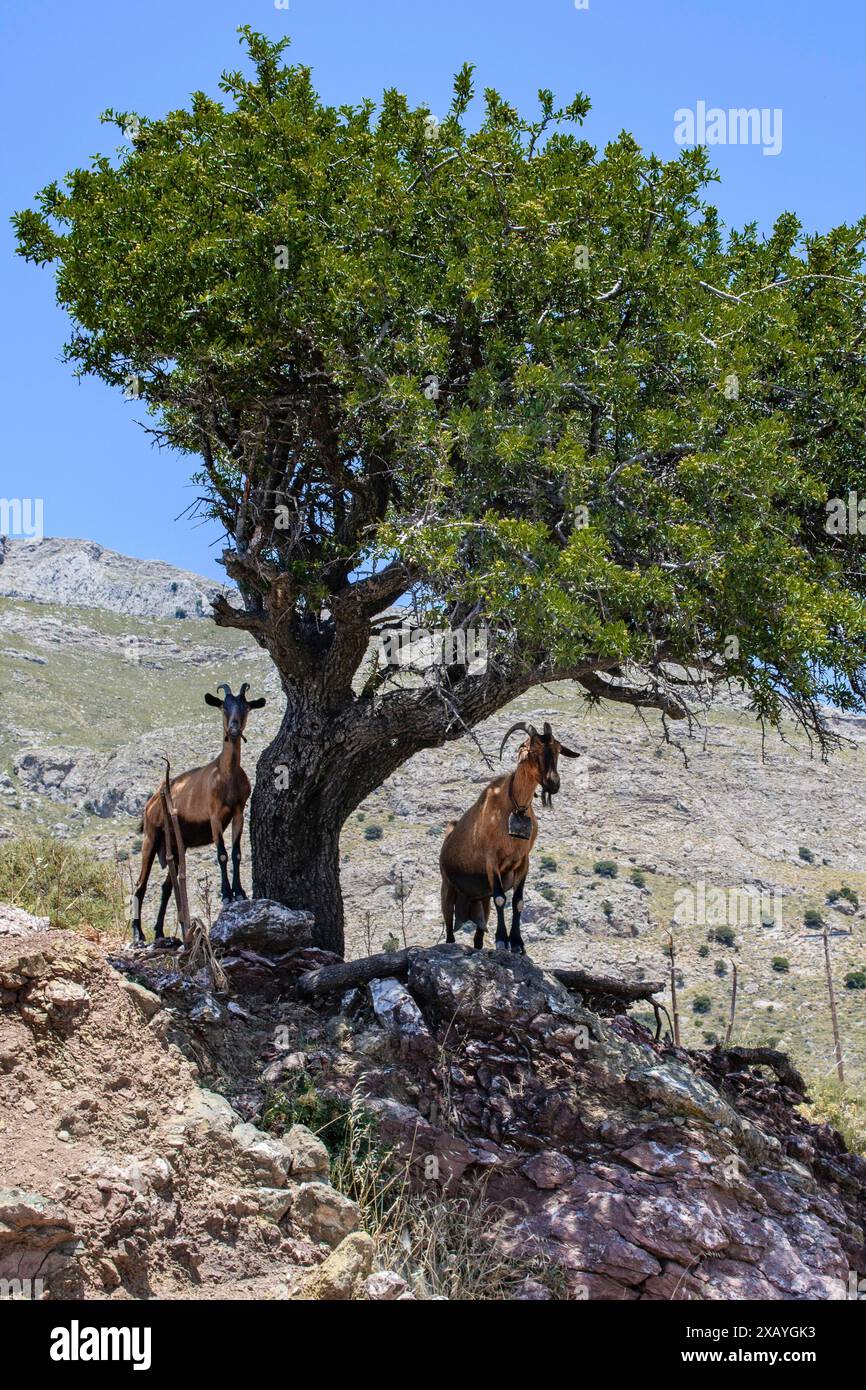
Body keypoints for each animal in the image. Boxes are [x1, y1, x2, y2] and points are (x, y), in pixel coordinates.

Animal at [130, 681, 265, 945]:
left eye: (246, 707)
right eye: (224, 706)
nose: (234, 729)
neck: (225, 775)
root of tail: (151, 803)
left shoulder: (238, 812)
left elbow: (236, 853)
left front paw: (240, 893)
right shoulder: (213, 815)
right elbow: (222, 854)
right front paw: (226, 894)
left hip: (174, 844)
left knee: (167, 886)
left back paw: (159, 931)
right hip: (152, 836)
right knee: (141, 884)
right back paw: (138, 933)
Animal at [439, 717, 575, 956]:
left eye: (558, 750)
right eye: (532, 751)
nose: (553, 783)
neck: (514, 807)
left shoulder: (523, 862)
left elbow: (518, 902)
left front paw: (518, 944)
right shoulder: (492, 861)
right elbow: (502, 898)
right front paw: (503, 941)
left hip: (480, 901)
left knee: (478, 936)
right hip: (447, 888)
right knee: (449, 931)